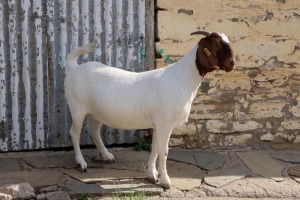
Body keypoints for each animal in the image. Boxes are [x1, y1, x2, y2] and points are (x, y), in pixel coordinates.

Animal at [64, 30, 236, 188]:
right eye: (214, 45)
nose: (232, 63)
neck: (182, 78)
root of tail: (74, 68)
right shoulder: (165, 124)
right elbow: (164, 151)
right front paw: (166, 181)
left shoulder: (157, 124)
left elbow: (155, 149)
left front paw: (152, 175)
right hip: (77, 108)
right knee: (74, 133)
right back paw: (81, 163)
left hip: (97, 112)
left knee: (94, 130)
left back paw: (106, 156)